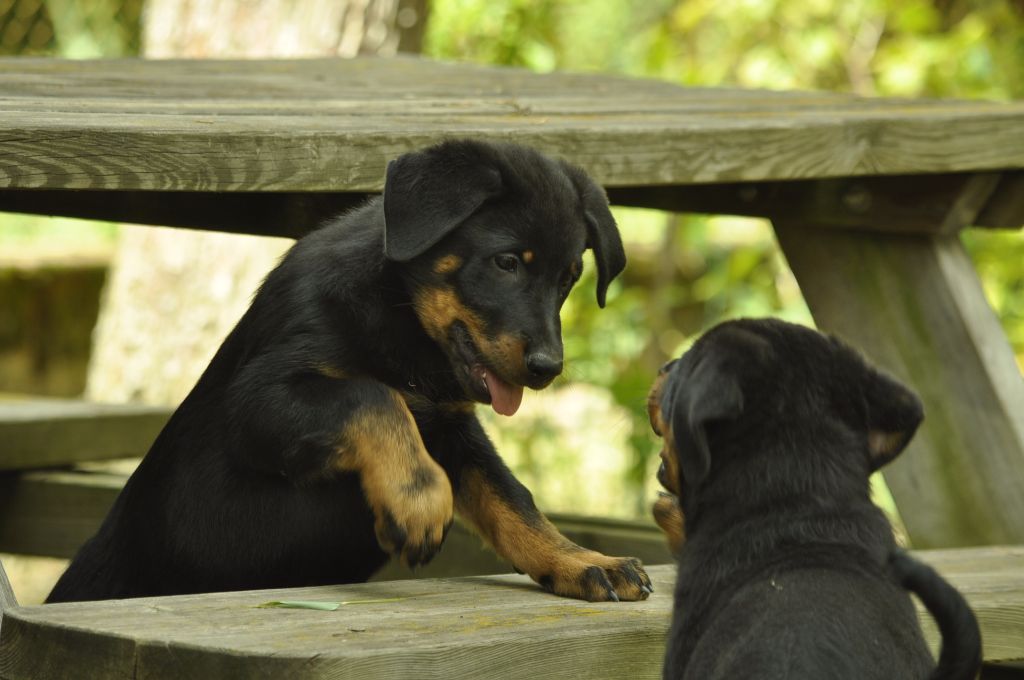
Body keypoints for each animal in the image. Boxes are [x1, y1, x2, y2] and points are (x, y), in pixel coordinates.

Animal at [46, 137, 647, 602]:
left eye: (569, 279)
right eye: (505, 263)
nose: (548, 368)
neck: (399, 317)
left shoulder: (454, 429)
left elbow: (512, 499)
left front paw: (582, 561)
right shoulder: (260, 401)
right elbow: (374, 397)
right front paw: (417, 501)